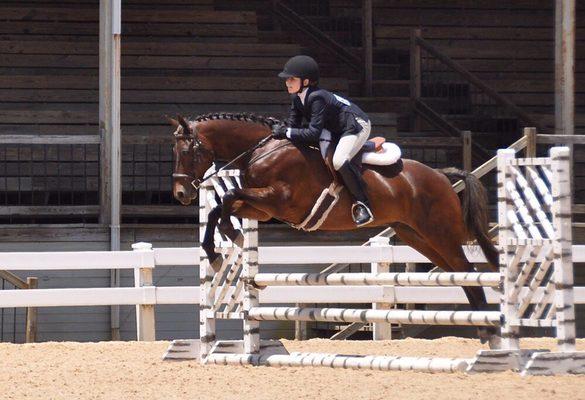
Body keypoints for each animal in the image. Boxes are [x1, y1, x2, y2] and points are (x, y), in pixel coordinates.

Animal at [171, 112, 500, 346]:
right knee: (461, 274)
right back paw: (485, 331)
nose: (181, 194)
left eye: (187, 152)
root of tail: (442, 176)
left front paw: (230, 234)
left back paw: (491, 332)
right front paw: (216, 250)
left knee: (467, 271)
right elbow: (220, 206)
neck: (265, 150)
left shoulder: (279, 200)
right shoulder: (262, 209)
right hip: (416, 236)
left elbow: (227, 197)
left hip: (440, 233)